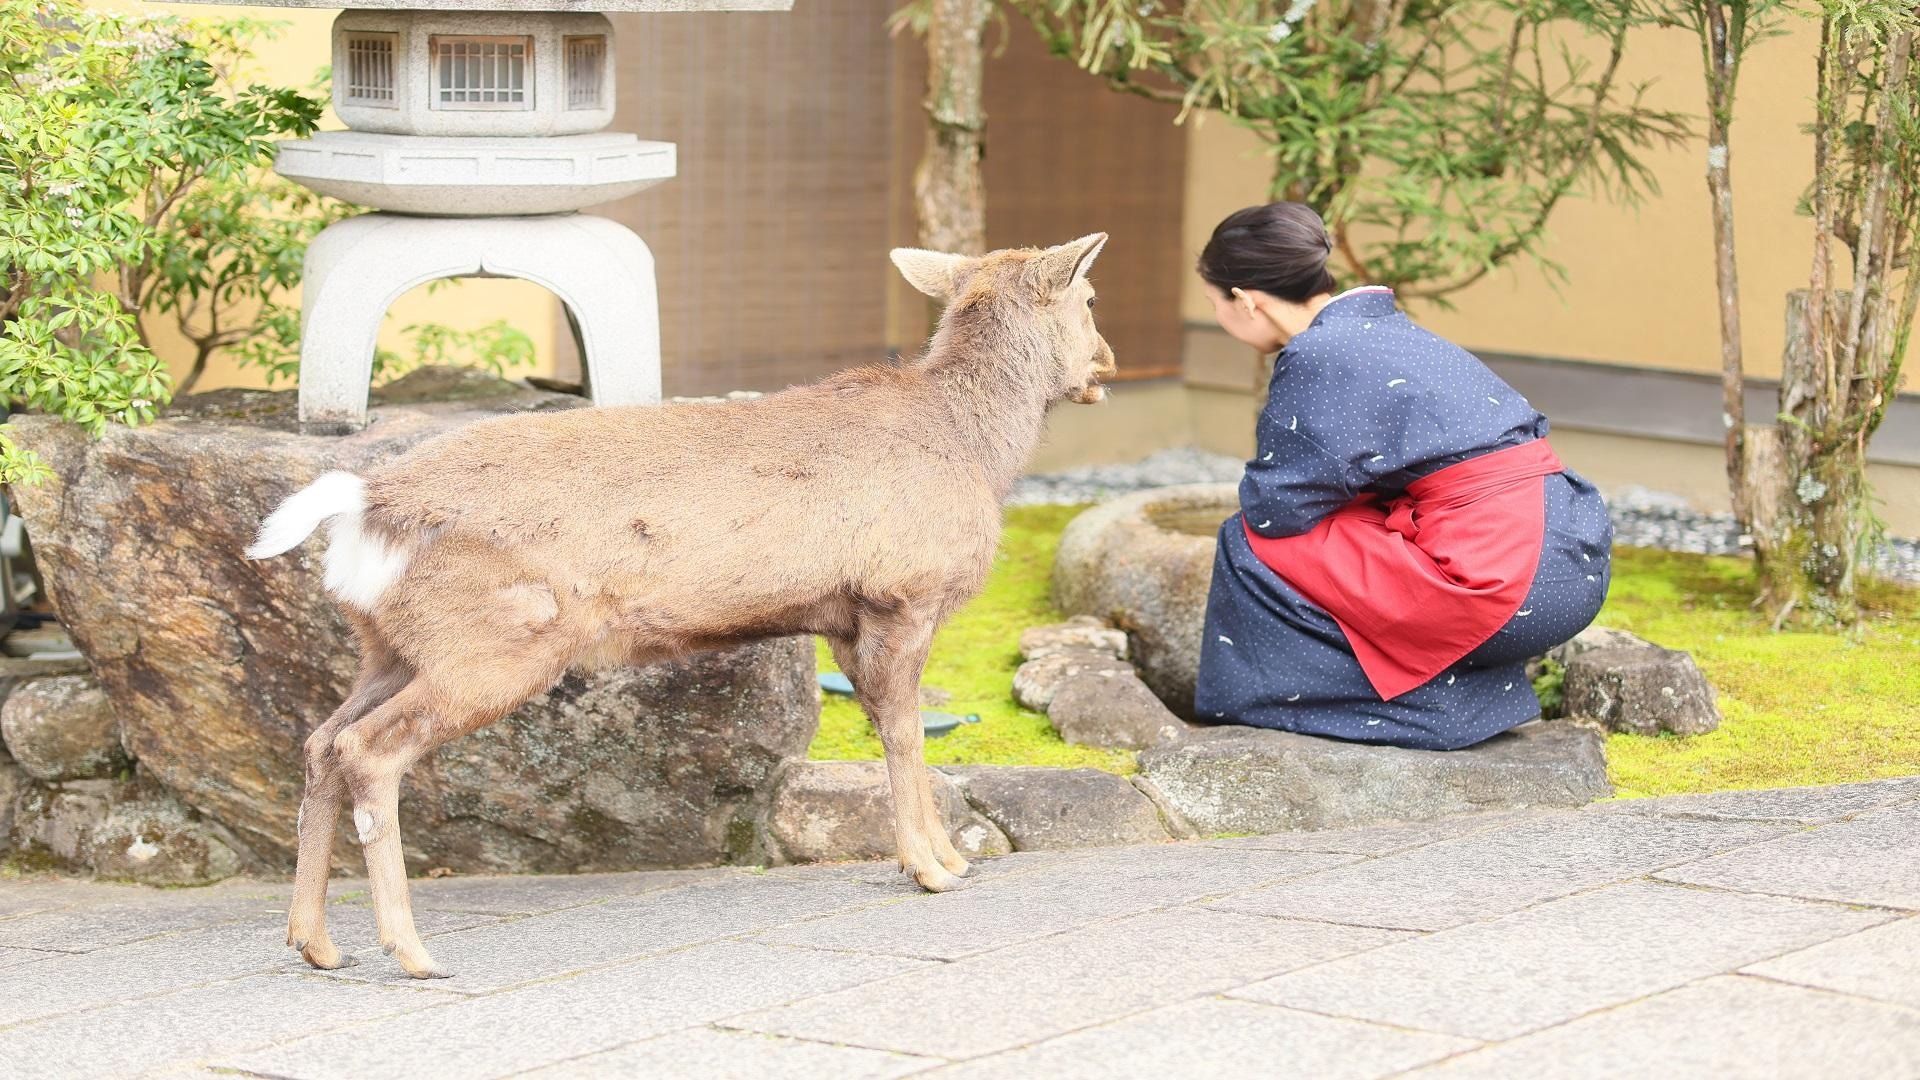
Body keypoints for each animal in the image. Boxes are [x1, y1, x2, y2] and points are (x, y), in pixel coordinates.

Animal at [244, 233, 1115, 979]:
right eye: (1090, 297)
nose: (1106, 360)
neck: (976, 450)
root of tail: (364, 504)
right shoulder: (905, 589)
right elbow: (904, 734)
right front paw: (935, 868)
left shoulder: (848, 618)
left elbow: (885, 727)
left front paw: (944, 855)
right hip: (491, 643)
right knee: (367, 750)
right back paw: (412, 950)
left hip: (392, 644)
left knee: (322, 742)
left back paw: (315, 942)